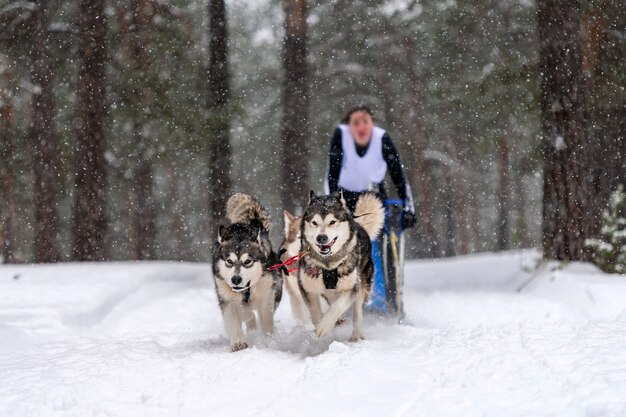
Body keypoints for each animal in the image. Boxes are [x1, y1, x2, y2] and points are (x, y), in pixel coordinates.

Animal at [214, 193, 282, 350]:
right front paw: (238, 342)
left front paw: (267, 340)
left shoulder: (266, 297)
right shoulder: (226, 298)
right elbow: (234, 319)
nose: (236, 279)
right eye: (229, 261)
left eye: (247, 261)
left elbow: (266, 321)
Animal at [296, 190, 380, 340]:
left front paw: (324, 326)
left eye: (332, 222)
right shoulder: (307, 288)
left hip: (362, 284)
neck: (328, 264)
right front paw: (320, 325)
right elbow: (315, 311)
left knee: (357, 312)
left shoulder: (352, 287)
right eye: (314, 222)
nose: (321, 238)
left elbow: (337, 307)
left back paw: (356, 335)